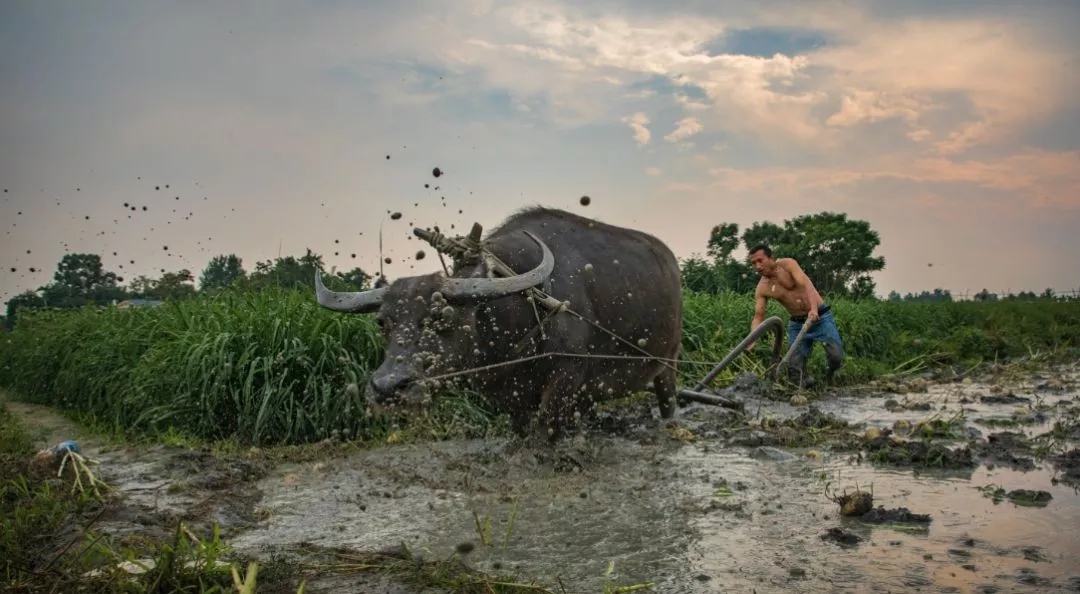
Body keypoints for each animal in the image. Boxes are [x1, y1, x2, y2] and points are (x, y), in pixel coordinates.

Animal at [315, 207, 682, 440]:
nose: (388, 388)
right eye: (382, 322)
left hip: (668, 365)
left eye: (444, 316)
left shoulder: (565, 380)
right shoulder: (504, 395)